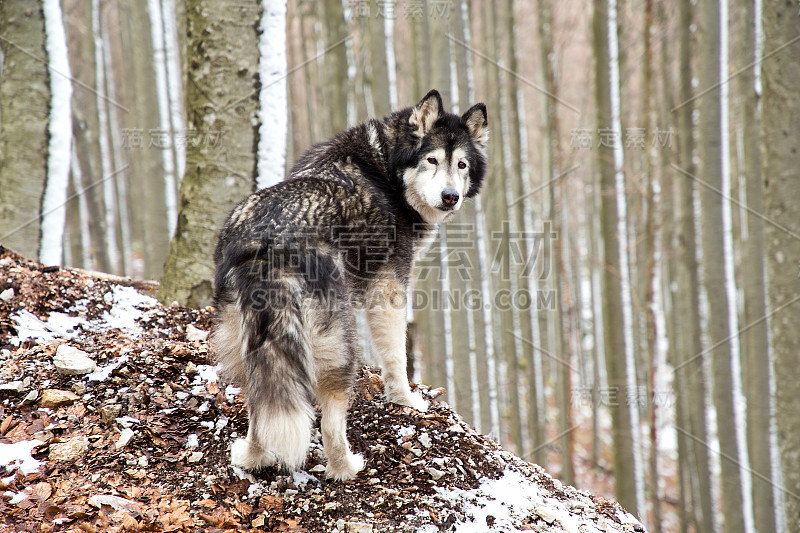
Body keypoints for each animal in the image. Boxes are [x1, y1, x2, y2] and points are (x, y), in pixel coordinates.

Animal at [211, 89, 488, 480]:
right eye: (432, 160)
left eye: (461, 165)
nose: (451, 196)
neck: (385, 165)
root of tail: (269, 239)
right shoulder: (389, 291)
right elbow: (396, 359)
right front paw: (406, 401)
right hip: (340, 349)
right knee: (329, 422)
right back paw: (345, 467)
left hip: (244, 346)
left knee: (261, 403)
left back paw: (253, 458)